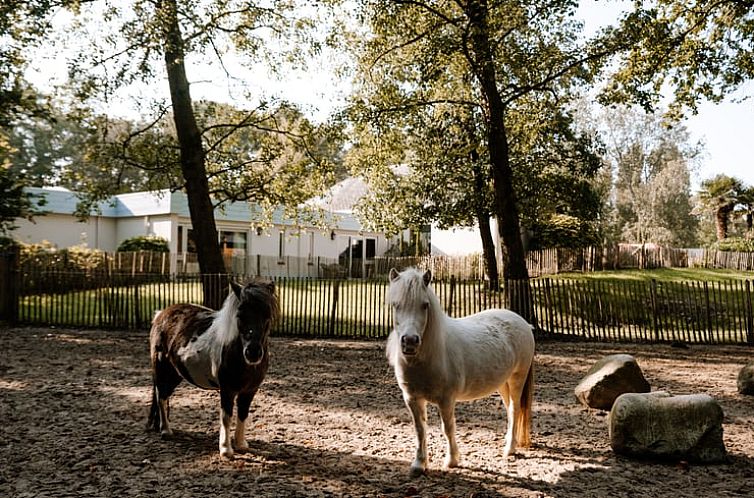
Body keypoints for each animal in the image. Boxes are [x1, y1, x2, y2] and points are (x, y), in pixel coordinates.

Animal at [145, 278, 278, 458]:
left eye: (267, 315)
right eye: (240, 315)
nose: (253, 352)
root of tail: (161, 315)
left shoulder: (250, 391)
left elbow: (243, 414)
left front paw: (241, 445)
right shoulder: (227, 390)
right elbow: (226, 416)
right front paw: (226, 449)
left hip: (176, 374)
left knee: (162, 396)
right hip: (163, 371)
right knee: (161, 397)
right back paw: (166, 430)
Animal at [384, 266, 532, 476]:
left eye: (425, 305)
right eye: (396, 305)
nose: (410, 342)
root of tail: (523, 322)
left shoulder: (446, 400)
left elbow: (448, 428)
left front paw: (452, 460)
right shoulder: (412, 398)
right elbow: (420, 429)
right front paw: (419, 464)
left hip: (517, 378)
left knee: (515, 408)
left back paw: (509, 449)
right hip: (503, 384)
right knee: (511, 411)